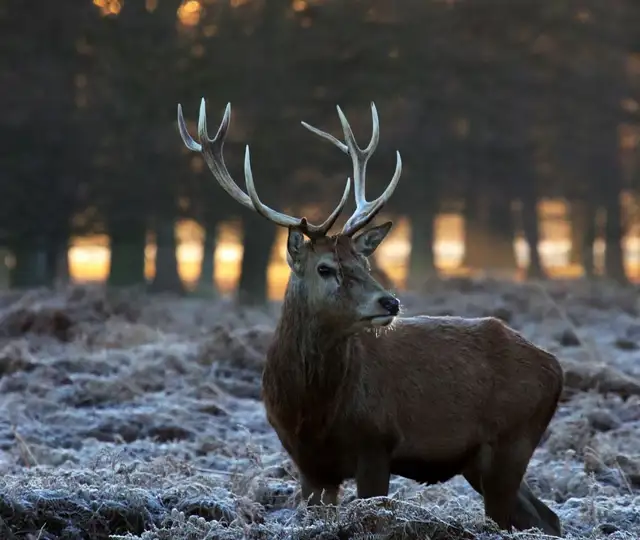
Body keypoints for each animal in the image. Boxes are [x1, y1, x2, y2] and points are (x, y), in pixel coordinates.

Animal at [177, 98, 564, 537]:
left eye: (363, 261)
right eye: (326, 268)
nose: (390, 302)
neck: (313, 412)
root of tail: (555, 368)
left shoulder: (377, 443)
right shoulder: (308, 464)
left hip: (512, 442)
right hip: (480, 461)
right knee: (546, 516)